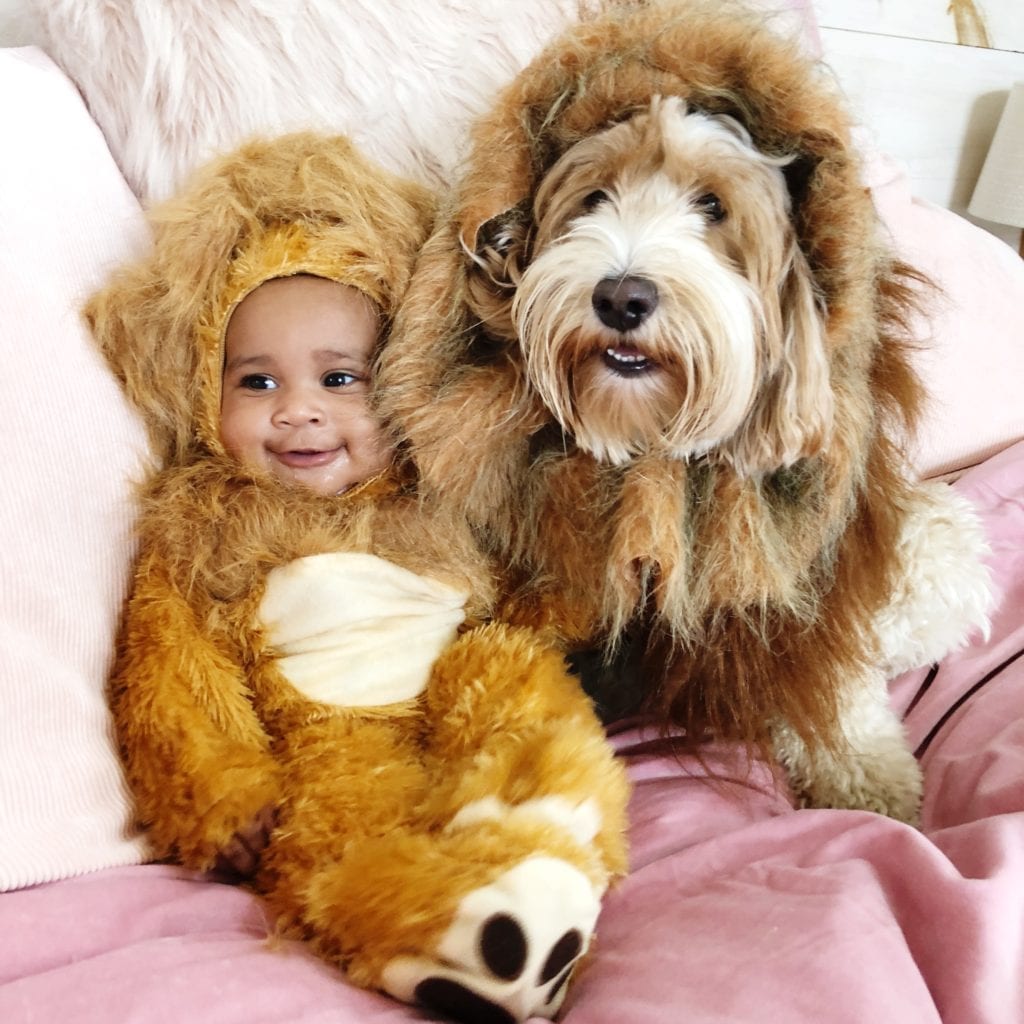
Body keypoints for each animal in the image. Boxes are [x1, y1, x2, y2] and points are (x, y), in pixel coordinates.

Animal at [378, 0, 991, 819]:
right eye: (593, 198)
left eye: (713, 206)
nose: (621, 296)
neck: (648, 451)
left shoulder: (806, 559)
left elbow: (835, 676)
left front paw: (867, 777)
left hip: (932, 550)